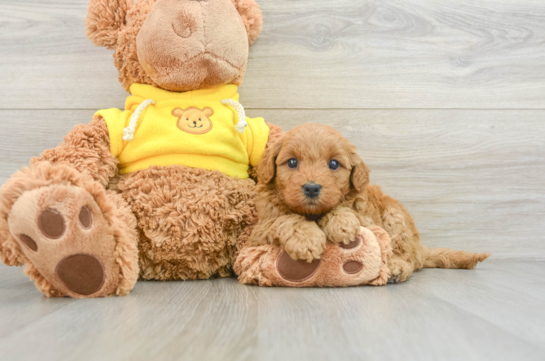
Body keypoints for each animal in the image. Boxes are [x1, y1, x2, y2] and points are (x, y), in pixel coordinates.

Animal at [251, 122, 488, 282]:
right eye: (292, 162)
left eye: (333, 164)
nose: (311, 187)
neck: (314, 214)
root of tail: (420, 247)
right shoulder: (259, 230)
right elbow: (285, 218)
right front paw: (306, 240)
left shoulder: (368, 221)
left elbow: (344, 211)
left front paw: (342, 224)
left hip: (396, 219)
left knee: (409, 259)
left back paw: (396, 267)